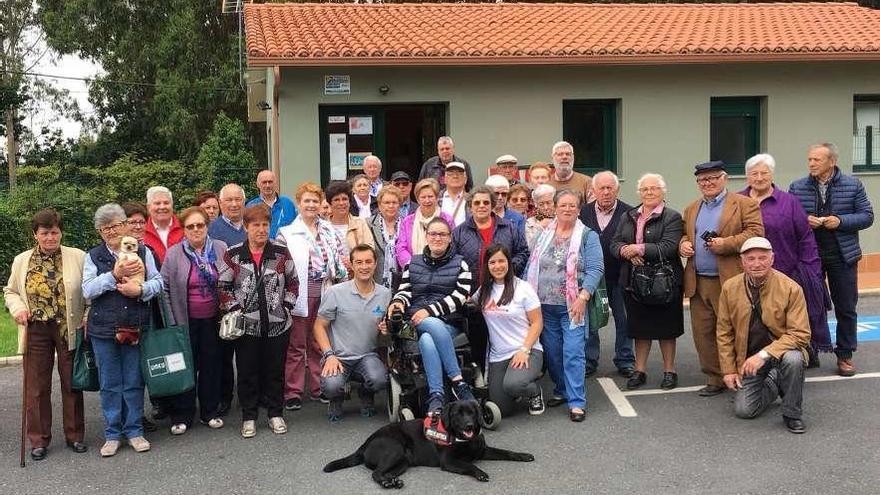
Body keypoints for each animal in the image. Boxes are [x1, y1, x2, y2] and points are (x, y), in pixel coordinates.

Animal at [322, 402, 532, 490]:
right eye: (457, 414)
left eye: (472, 413)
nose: (469, 426)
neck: (464, 439)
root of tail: (365, 443)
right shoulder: (449, 461)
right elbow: (469, 465)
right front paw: (480, 473)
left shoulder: (483, 451)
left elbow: (507, 452)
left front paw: (524, 455)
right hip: (394, 449)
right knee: (375, 473)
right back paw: (387, 483)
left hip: (402, 462)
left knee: (383, 473)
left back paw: (391, 482)